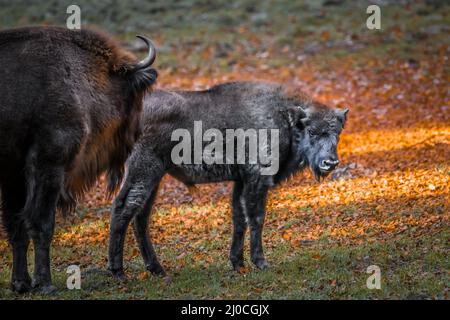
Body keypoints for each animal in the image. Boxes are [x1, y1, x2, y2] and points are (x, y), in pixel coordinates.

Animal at [0, 26, 158, 294]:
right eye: (135, 97)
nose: (138, 132)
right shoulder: (49, 165)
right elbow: (42, 223)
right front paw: (45, 284)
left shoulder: (13, 173)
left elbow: (16, 225)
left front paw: (21, 284)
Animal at [109, 80, 348, 278]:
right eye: (312, 131)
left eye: (337, 133)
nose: (330, 162)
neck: (284, 118)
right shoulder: (257, 178)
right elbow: (256, 217)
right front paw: (261, 262)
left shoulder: (241, 181)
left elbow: (239, 218)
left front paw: (237, 263)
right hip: (144, 171)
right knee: (123, 208)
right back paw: (118, 271)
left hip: (154, 178)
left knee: (140, 217)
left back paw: (157, 269)